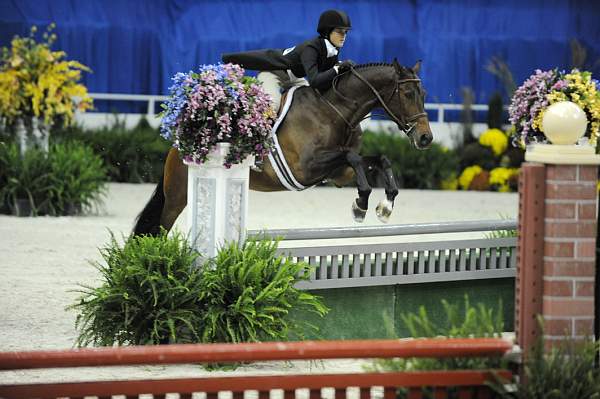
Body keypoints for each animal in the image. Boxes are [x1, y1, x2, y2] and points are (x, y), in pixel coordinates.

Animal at [132, 59, 432, 238]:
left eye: (424, 94)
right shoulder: (305, 168)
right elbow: (353, 157)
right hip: (178, 195)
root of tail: (179, 145)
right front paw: (360, 206)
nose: (426, 138)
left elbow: (377, 160)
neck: (336, 110)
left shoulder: (339, 175)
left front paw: (384, 207)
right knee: (159, 227)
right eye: (407, 94)